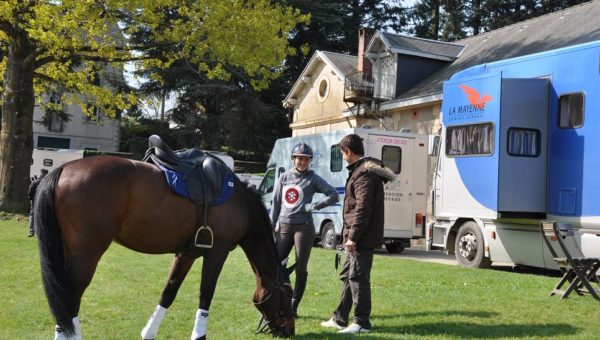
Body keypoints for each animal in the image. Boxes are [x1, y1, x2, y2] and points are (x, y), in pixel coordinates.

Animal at [33, 155, 296, 338]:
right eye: (287, 294)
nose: (289, 330)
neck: (240, 202)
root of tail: (64, 169)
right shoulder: (217, 253)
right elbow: (206, 295)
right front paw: (199, 335)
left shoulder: (187, 253)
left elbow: (169, 291)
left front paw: (149, 332)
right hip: (86, 256)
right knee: (69, 301)